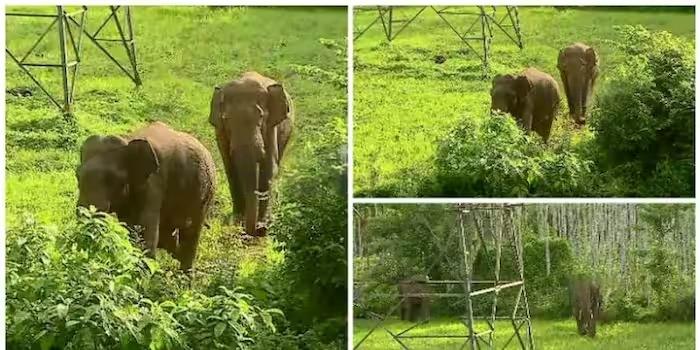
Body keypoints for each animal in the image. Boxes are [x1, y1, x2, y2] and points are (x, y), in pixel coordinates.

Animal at [75, 121, 215, 272]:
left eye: (112, 180)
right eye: (77, 175)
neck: (127, 140)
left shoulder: (154, 183)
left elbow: (145, 231)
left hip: (206, 195)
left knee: (191, 232)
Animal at [209, 70, 294, 238]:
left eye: (261, 117)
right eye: (226, 120)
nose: (248, 233)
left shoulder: (271, 128)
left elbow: (269, 169)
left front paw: (261, 228)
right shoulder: (220, 131)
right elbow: (230, 168)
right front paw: (236, 223)